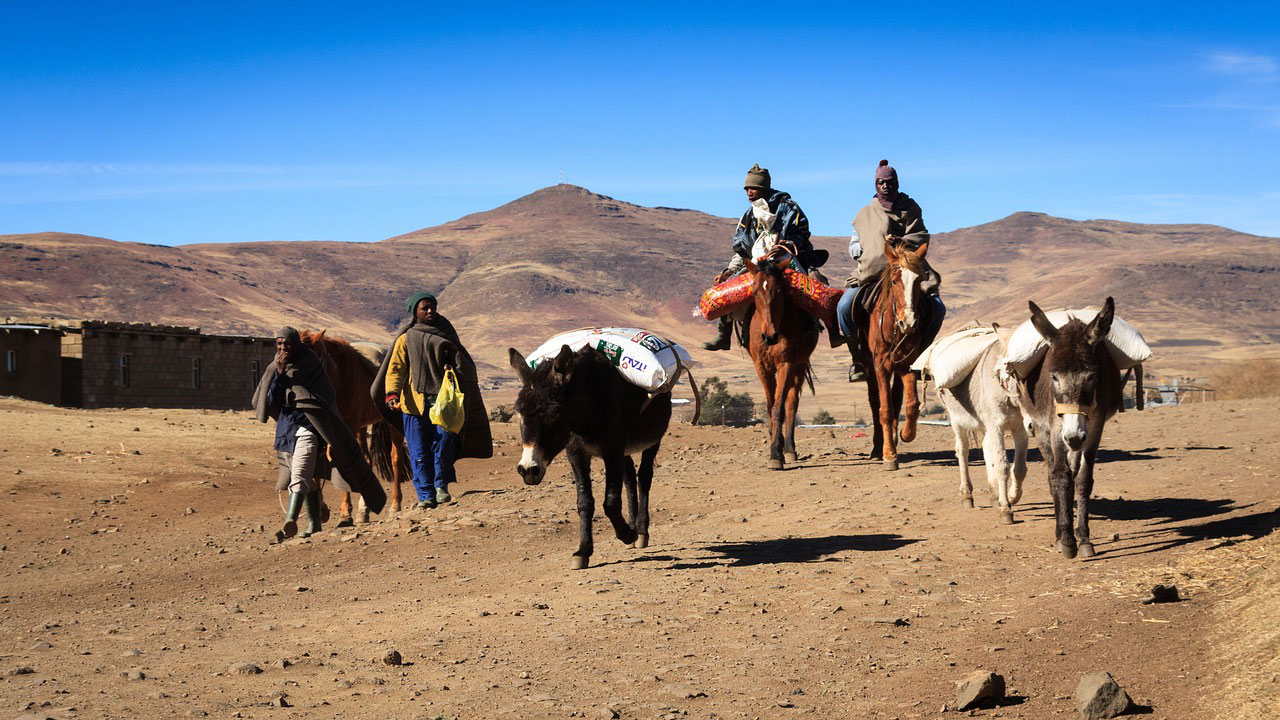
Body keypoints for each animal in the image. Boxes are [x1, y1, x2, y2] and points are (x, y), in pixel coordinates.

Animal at [296, 327, 407, 517]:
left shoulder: (347, 429)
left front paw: (345, 510)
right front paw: (321, 508)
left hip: (389, 422)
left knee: (395, 458)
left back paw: (395, 503)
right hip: (362, 427)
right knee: (367, 460)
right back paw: (364, 509)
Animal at [747, 254, 814, 468]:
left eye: (779, 291)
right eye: (755, 291)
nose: (770, 336)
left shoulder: (787, 364)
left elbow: (779, 409)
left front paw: (776, 454)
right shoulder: (761, 367)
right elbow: (770, 407)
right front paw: (774, 446)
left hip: (800, 365)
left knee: (791, 403)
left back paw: (789, 449)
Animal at [855, 238, 926, 468]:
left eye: (919, 281)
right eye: (895, 281)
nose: (909, 323)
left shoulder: (908, 366)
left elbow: (911, 405)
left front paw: (905, 434)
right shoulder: (881, 367)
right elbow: (884, 410)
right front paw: (888, 455)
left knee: (897, 399)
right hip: (870, 369)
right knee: (875, 402)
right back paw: (878, 448)